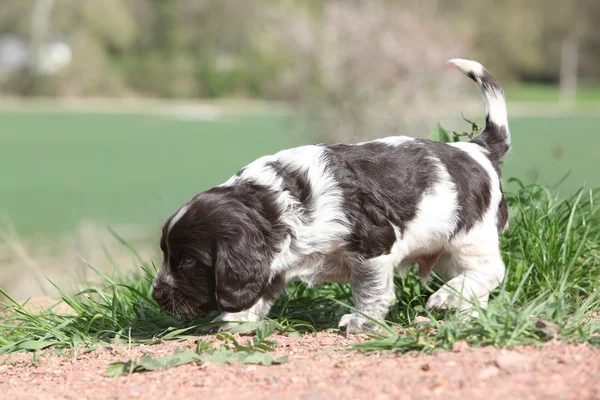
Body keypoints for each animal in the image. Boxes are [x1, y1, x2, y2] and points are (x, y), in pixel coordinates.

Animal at [152, 58, 508, 334]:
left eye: (187, 260)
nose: (156, 295)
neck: (275, 204)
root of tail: (477, 149)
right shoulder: (272, 262)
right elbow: (257, 292)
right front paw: (235, 321)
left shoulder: (374, 245)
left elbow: (370, 290)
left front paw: (362, 321)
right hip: (447, 251)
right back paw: (464, 313)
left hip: (470, 236)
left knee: (491, 270)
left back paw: (448, 298)